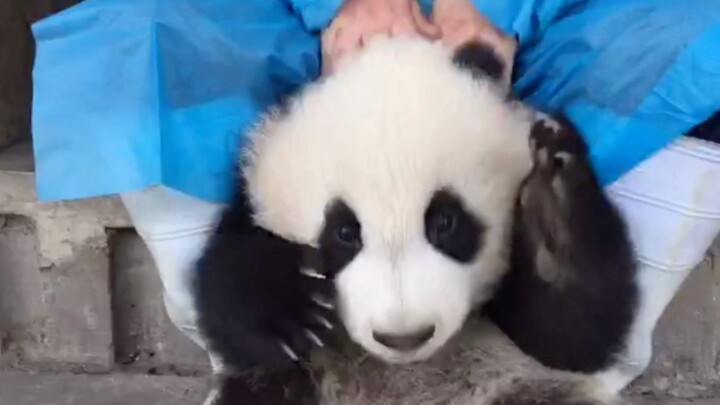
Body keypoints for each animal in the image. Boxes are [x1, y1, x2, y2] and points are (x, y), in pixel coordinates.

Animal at [195, 36, 638, 405]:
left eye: (445, 222)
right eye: (344, 231)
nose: (404, 337)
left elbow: (568, 335)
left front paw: (550, 200)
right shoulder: (253, 195)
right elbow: (228, 295)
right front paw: (294, 309)